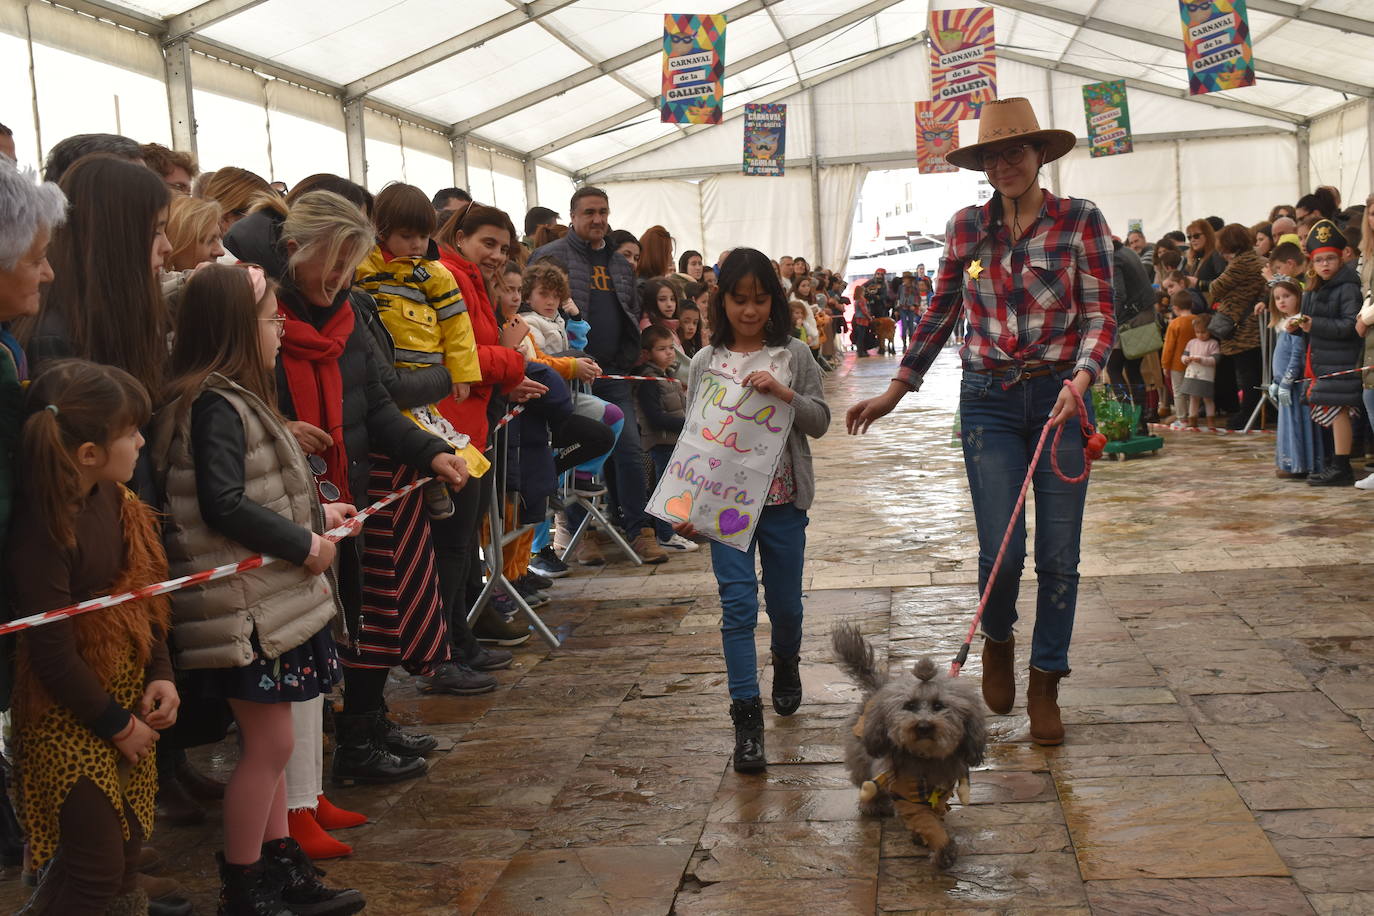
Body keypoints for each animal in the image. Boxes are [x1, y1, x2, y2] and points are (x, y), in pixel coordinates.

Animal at [824, 623, 989, 867]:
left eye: (938, 706)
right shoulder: (908, 793)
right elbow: (925, 820)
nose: (923, 726)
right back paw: (873, 804)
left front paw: (926, 839)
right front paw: (942, 848)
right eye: (909, 706)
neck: (925, 757)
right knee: (866, 780)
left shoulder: (941, 792)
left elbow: (934, 815)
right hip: (863, 753)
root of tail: (878, 688)